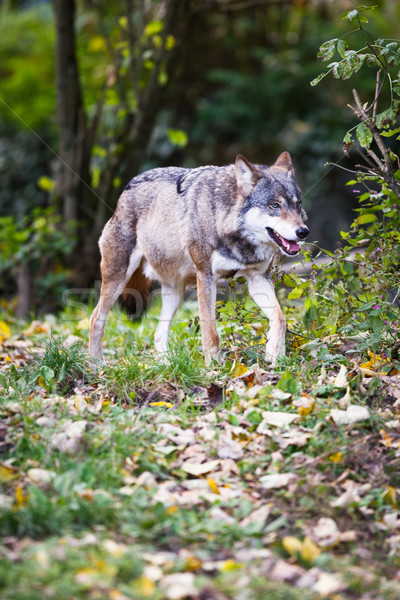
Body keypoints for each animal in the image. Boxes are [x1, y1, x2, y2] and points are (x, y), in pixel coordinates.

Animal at [90, 152, 310, 364]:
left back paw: (169, 367)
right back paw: (96, 365)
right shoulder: (205, 277)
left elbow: (281, 319)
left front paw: (275, 355)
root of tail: (125, 190)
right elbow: (211, 333)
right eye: (274, 205)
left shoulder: (257, 279)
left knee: (158, 335)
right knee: (95, 319)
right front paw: (214, 368)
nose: (303, 232)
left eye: (298, 204)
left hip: (174, 294)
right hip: (117, 280)